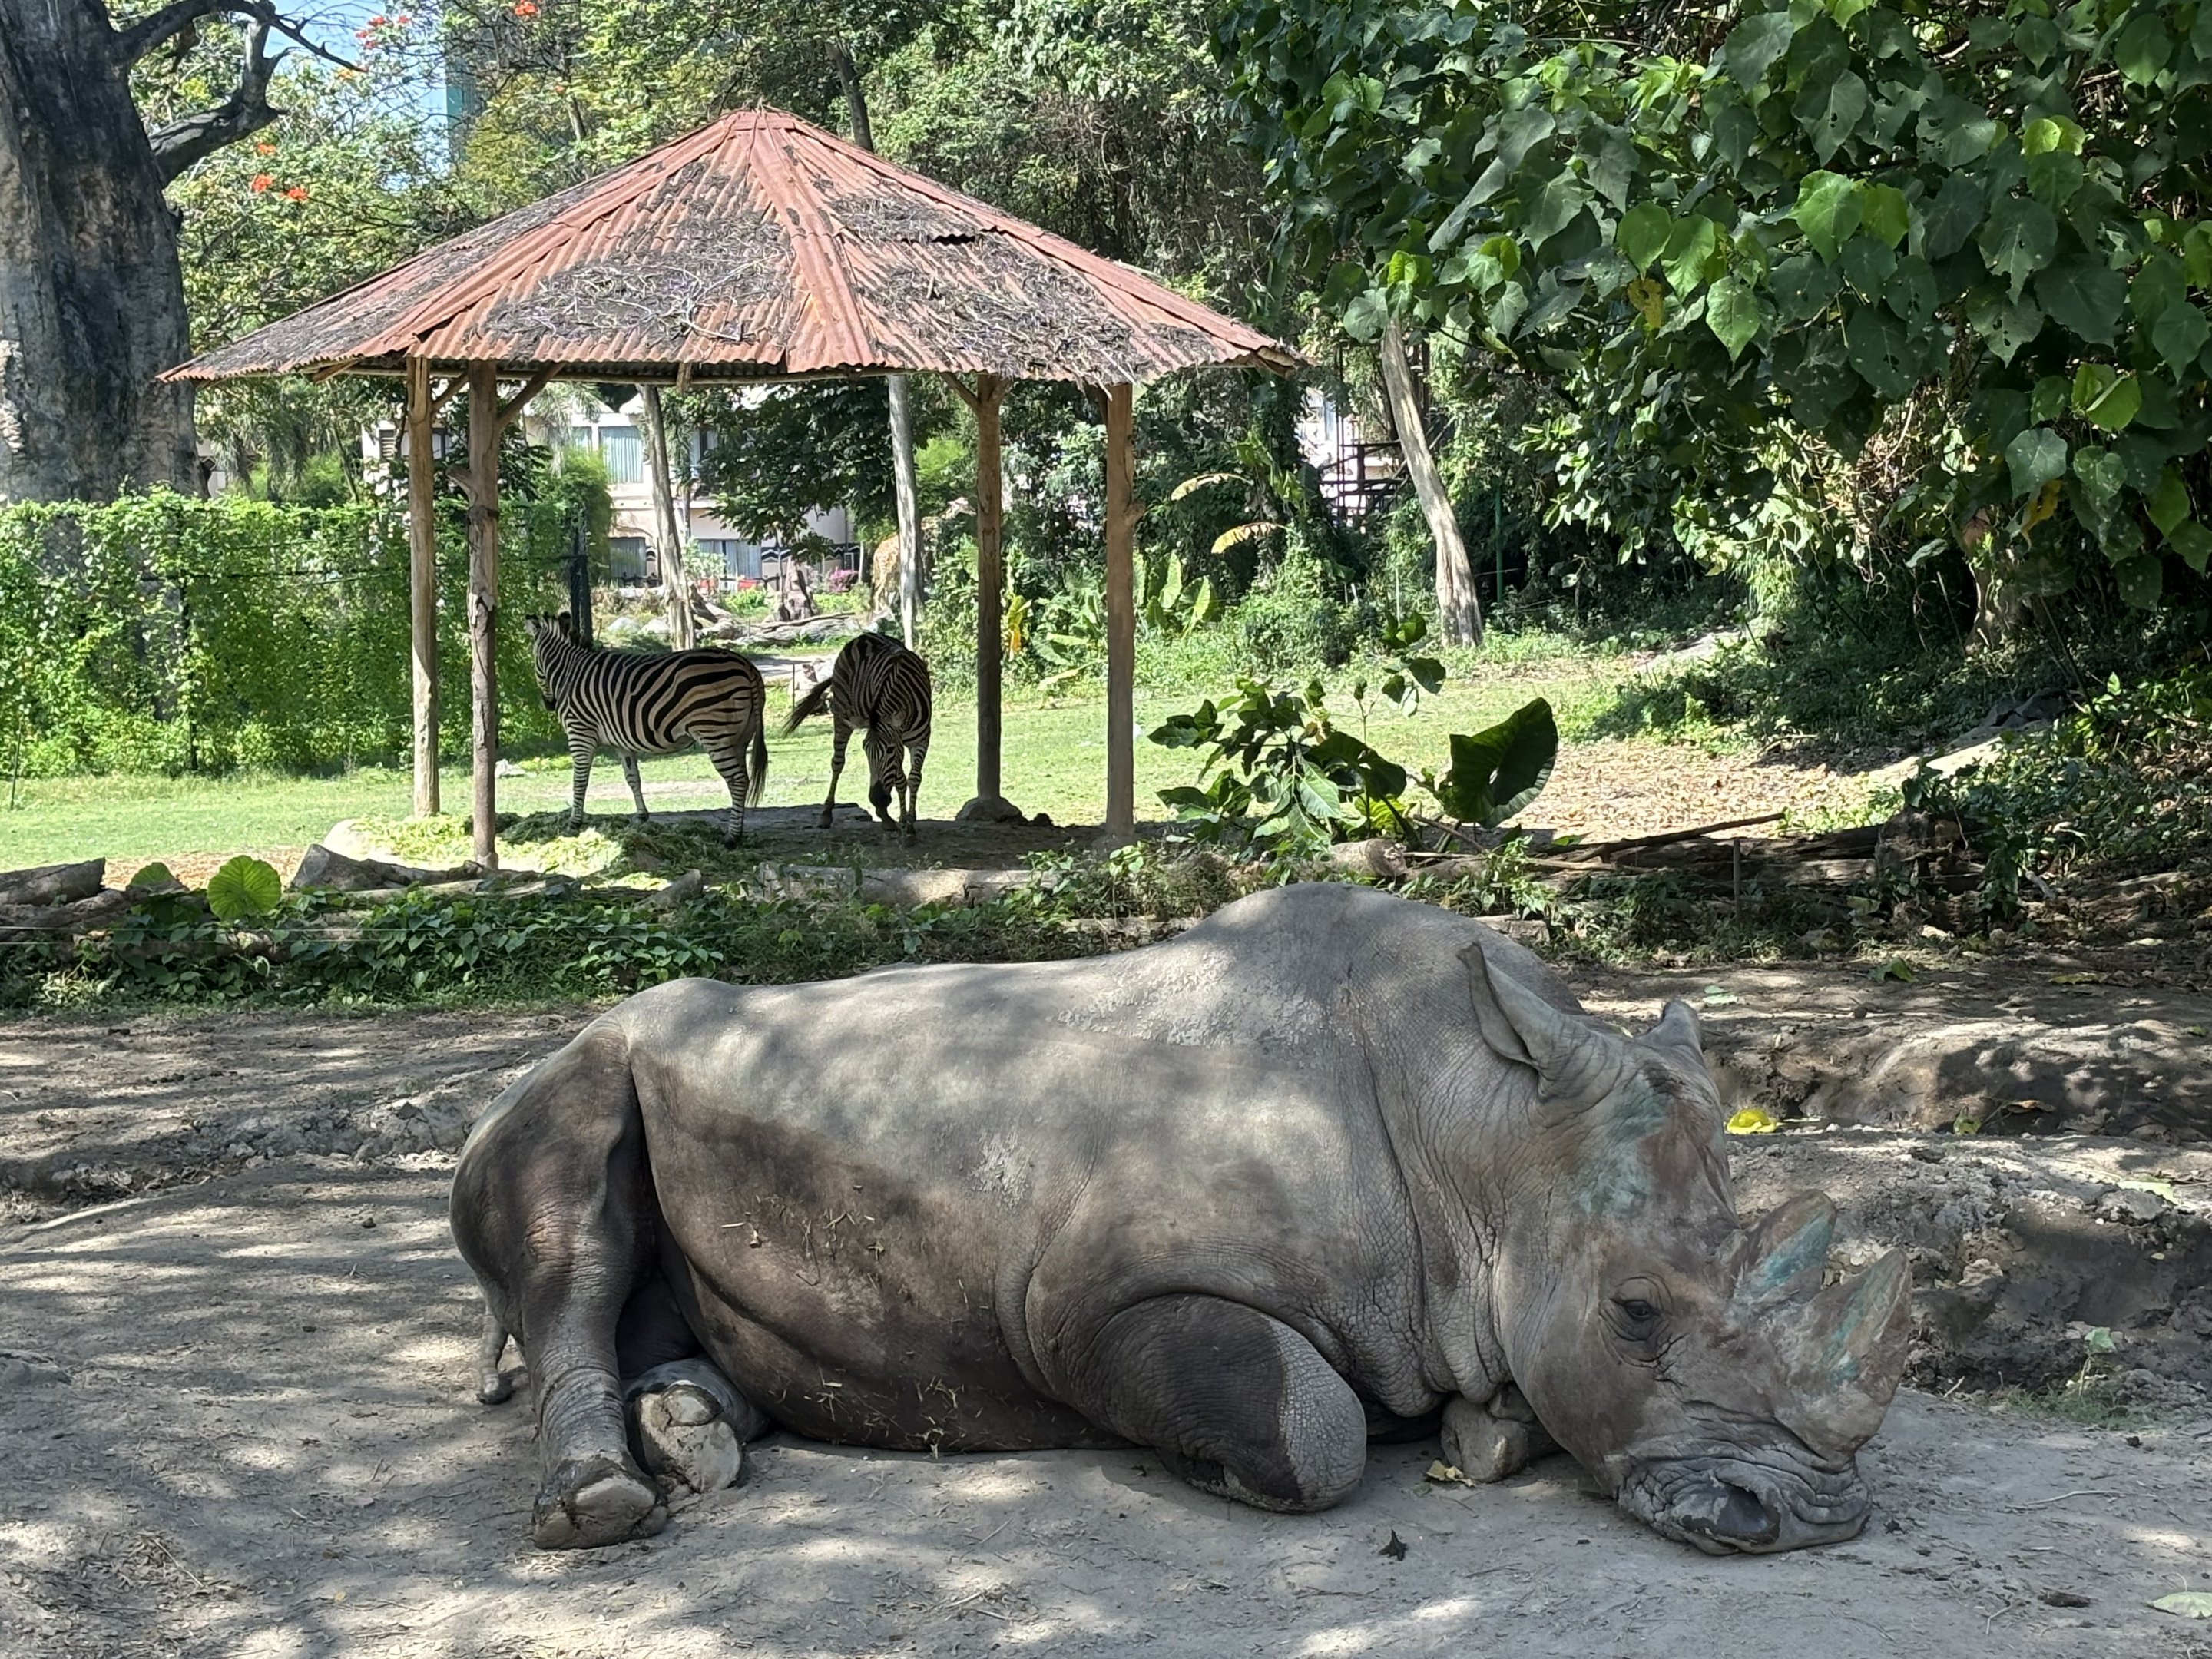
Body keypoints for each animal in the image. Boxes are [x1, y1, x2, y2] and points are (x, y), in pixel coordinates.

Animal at [451, 885, 1909, 1554]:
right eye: (1636, 1313)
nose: (1810, 1515)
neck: (1483, 1131)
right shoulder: (1089, 1304)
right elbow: (1312, 1426)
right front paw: (1222, 1464)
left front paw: (1482, 1427)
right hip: (577, 1066)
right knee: (570, 1228)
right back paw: (605, 1505)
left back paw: (693, 1432)